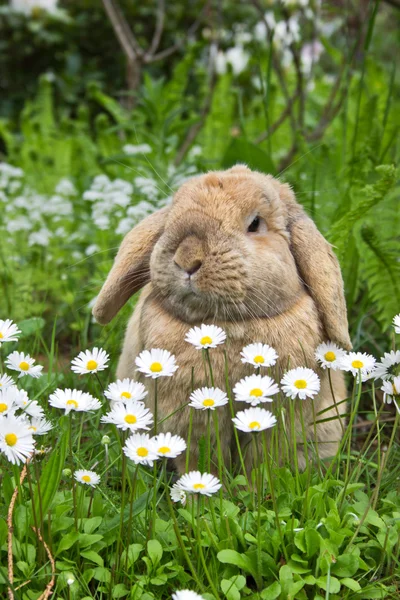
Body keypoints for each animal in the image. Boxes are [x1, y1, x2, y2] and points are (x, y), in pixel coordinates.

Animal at [93, 165, 350, 474]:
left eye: (255, 223)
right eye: (172, 219)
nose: (187, 258)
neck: (228, 326)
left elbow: (262, 460)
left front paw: (254, 486)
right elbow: (203, 459)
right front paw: (204, 485)